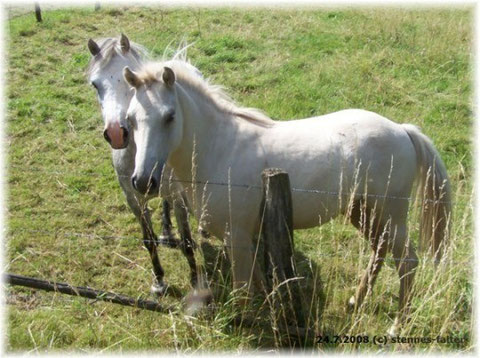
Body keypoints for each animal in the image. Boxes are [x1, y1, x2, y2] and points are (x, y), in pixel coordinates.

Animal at [86, 35, 201, 294]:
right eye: (95, 85)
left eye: (128, 80)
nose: (116, 133)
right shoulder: (134, 200)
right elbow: (148, 240)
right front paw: (159, 281)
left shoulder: (179, 197)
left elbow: (187, 242)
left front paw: (197, 285)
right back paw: (167, 232)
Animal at [123, 59, 450, 330]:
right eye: (131, 119)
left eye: (169, 116)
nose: (143, 181)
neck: (218, 148)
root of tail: (402, 130)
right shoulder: (244, 238)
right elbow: (258, 284)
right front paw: (271, 312)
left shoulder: (236, 236)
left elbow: (243, 290)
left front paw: (243, 324)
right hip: (363, 211)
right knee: (379, 251)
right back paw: (356, 302)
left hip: (391, 216)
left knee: (407, 262)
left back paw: (398, 325)